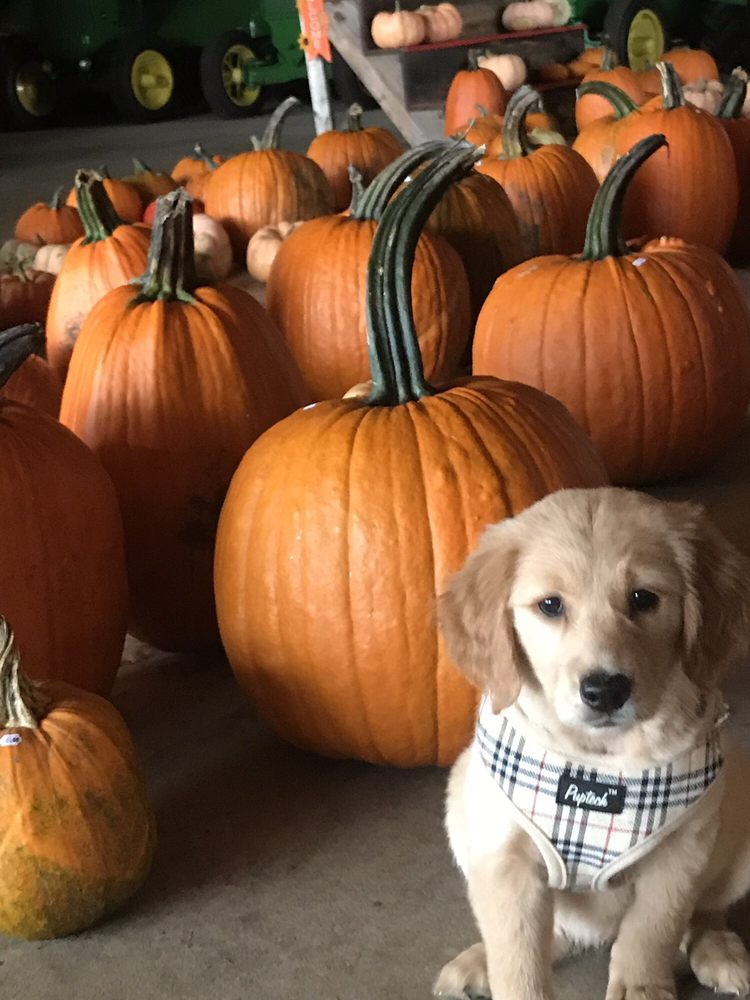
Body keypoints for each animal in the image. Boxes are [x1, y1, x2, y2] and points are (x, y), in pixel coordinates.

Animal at [436, 487, 750, 1000]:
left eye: (643, 599)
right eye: (550, 605)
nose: (605, 689)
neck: (597, 760)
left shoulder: (679, 854)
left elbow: (651, 932)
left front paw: (642, 988)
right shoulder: (506, 859)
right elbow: (517, 956)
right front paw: (505, 971)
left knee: (702, 909)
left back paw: (716, 947)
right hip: (462, 804)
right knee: (548, 935)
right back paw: (476, 962)